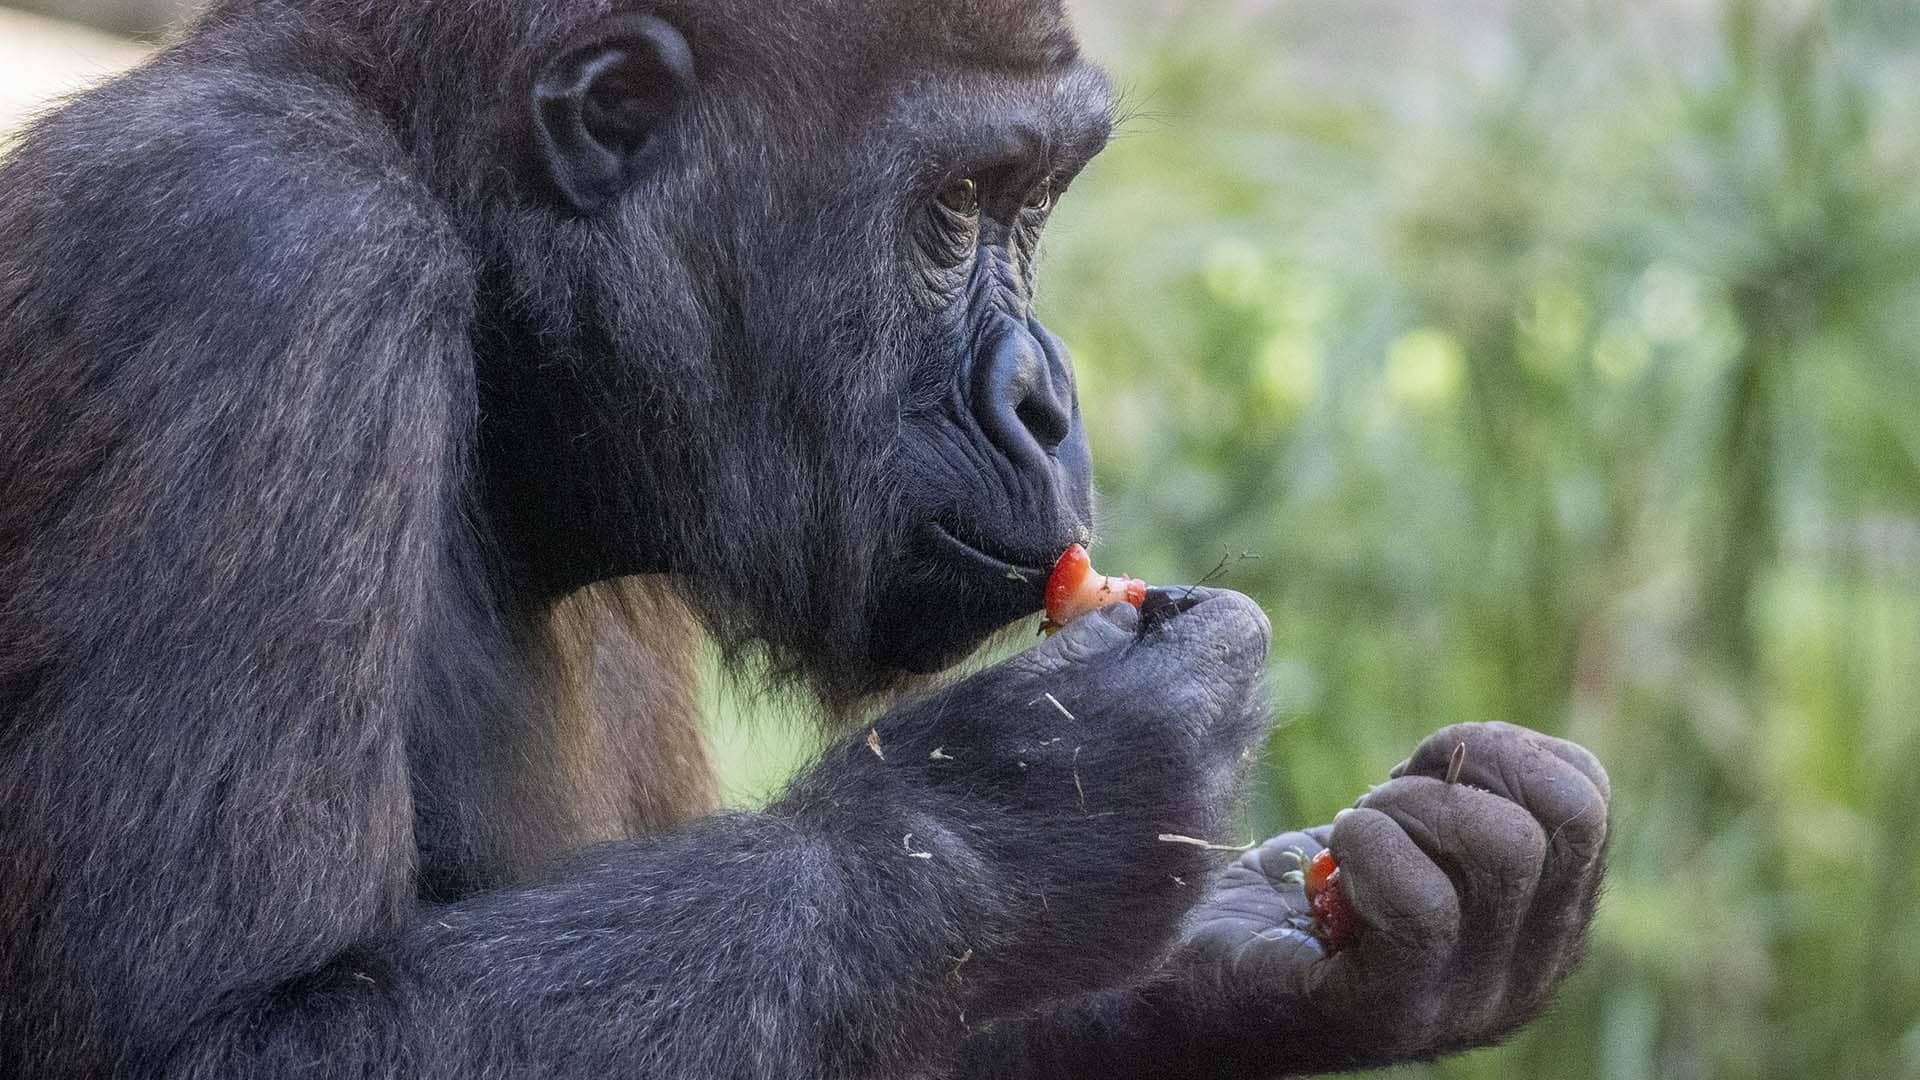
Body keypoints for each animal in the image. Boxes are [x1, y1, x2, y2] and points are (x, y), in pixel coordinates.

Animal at [0, 0, 1612, 1068]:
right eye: (957, 204)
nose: (1047, 400)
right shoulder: (250, 260)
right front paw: (999, 815)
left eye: (1033, 205)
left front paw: (1287, 970)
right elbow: (219, 1040)